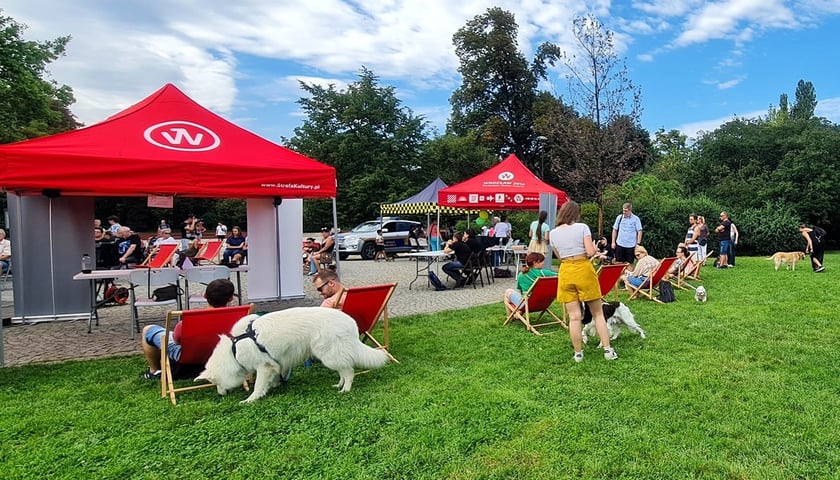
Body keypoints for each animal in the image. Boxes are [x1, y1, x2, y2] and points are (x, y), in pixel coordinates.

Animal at [197, 306, 390, 404]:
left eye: (215, 382)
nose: (220, 395)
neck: (234, 349)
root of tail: (350, 323)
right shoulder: (275, 364)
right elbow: (274, 377)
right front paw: (274, 386)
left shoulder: (264, 366)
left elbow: (258, 385)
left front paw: (251, 399)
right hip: (332, 356)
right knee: (343, 371)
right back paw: (339, 384)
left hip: (328, 356)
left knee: (349, 371)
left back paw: (346, 389)